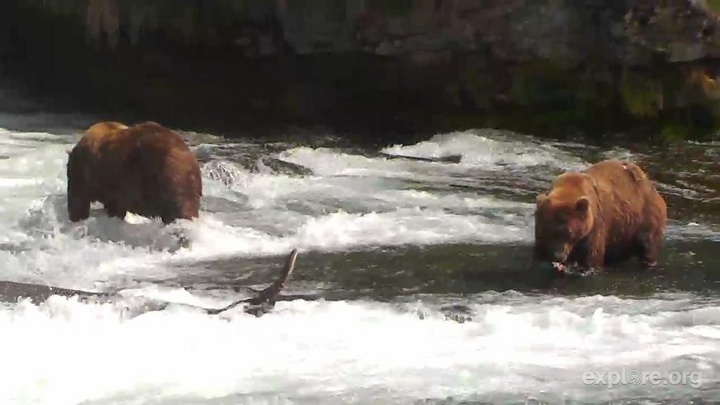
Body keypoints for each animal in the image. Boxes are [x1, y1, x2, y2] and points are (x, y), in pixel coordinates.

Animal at [533, 159, 667, 272]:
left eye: (569, 232)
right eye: (548, 230)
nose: (558, 256)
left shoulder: (594, 228)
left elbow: (591, 258)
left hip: (644, 217)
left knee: (647, 244)